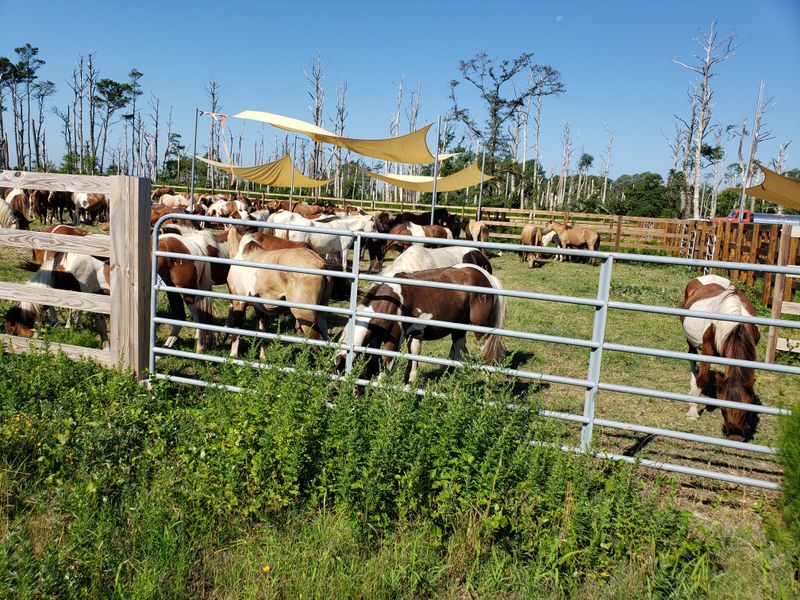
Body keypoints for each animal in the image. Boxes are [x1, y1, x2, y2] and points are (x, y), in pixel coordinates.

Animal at [225, 225, 333, 358]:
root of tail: (321, 263)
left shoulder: (239, 302)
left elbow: (236, 332)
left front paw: (233, 356)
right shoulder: (258, 308)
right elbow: (261, 331)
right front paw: (263, 357)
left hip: (304, 315)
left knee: (318, 343)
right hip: (321, 315)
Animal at [336, 263, 506, 383]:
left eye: (340, 370)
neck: (391, 302)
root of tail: (488, 277)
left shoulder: (394, 342)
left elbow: (385, 372)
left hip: (481, 330)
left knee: (485, 354)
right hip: (458, 329)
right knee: (459, 353)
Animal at [681, 274, 761, 442]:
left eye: (747, 405)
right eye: (723, 407)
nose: (735, 437)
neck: (736, 327)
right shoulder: (707, 349)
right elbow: (702, 379)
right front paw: (693, 412)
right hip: (691, 340)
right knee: (692, 358)